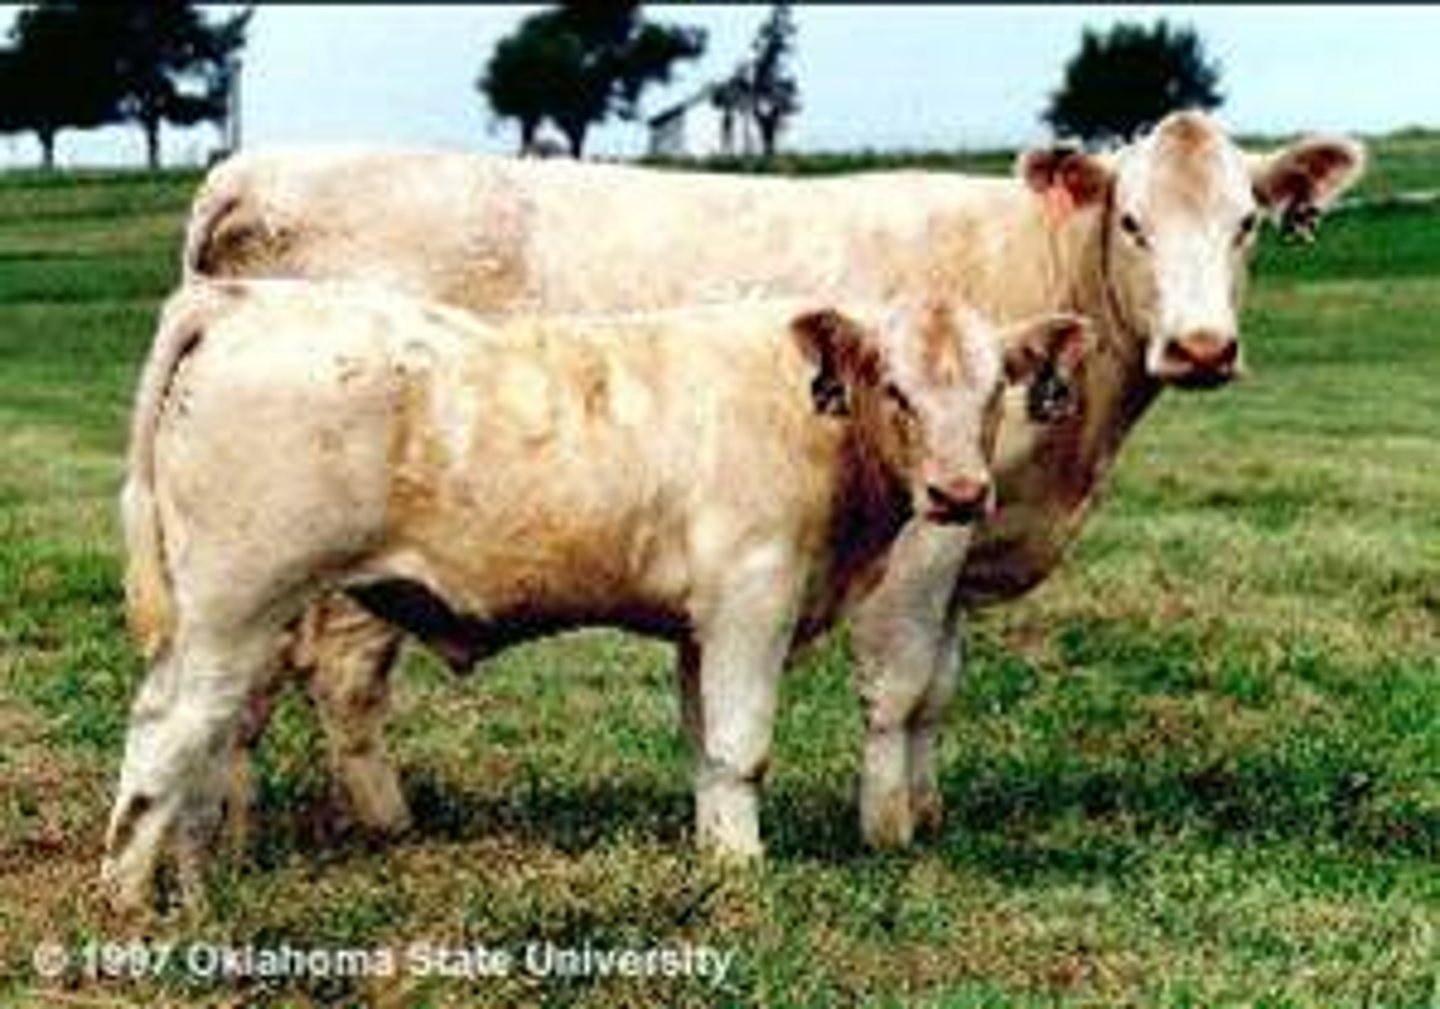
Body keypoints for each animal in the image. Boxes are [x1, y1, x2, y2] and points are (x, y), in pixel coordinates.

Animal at [104, 277, 1090, 911]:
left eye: (996, 387)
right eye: (894, 385)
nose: (960, 493)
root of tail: (245, 298)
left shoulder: (701, 624)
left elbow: (705, 750)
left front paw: (715, 860)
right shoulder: (752, 599)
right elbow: (743, 746)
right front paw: (748, 870)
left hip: (230, 620)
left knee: (203, 732)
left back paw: (191, 883)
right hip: (236, 604)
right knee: (168, 730)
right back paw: (129, 902)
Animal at [181, 111, 1365, 850]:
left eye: (1247, 223)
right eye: (1133, 221)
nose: (1203, 346)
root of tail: (253, 171)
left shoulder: (968, 527)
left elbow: (942, 687)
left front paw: (927, 809)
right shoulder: (926, 531)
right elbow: (900, 686)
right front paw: (888, 831)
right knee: (331, 671)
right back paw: (372, 824)